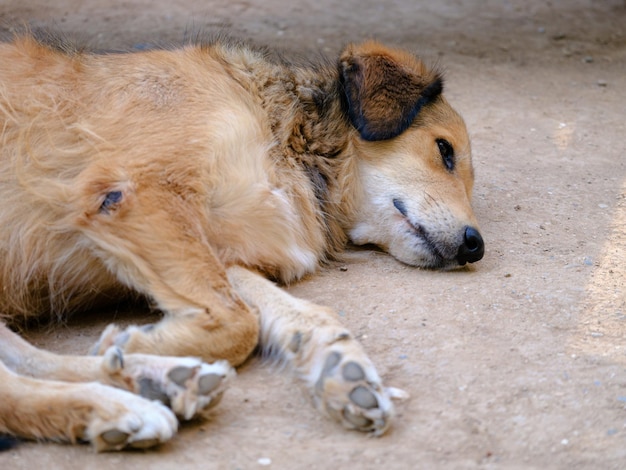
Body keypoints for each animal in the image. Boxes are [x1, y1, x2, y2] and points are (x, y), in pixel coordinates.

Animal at [0, 34, 482, 452]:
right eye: (444, 150)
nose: (475, 246)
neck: (289, 139)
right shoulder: (139, 193)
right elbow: (237, 322)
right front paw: (134, 344)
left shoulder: (222, 251)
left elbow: (296, 314)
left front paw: (343, 369)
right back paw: (125, 405)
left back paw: (161, 381)